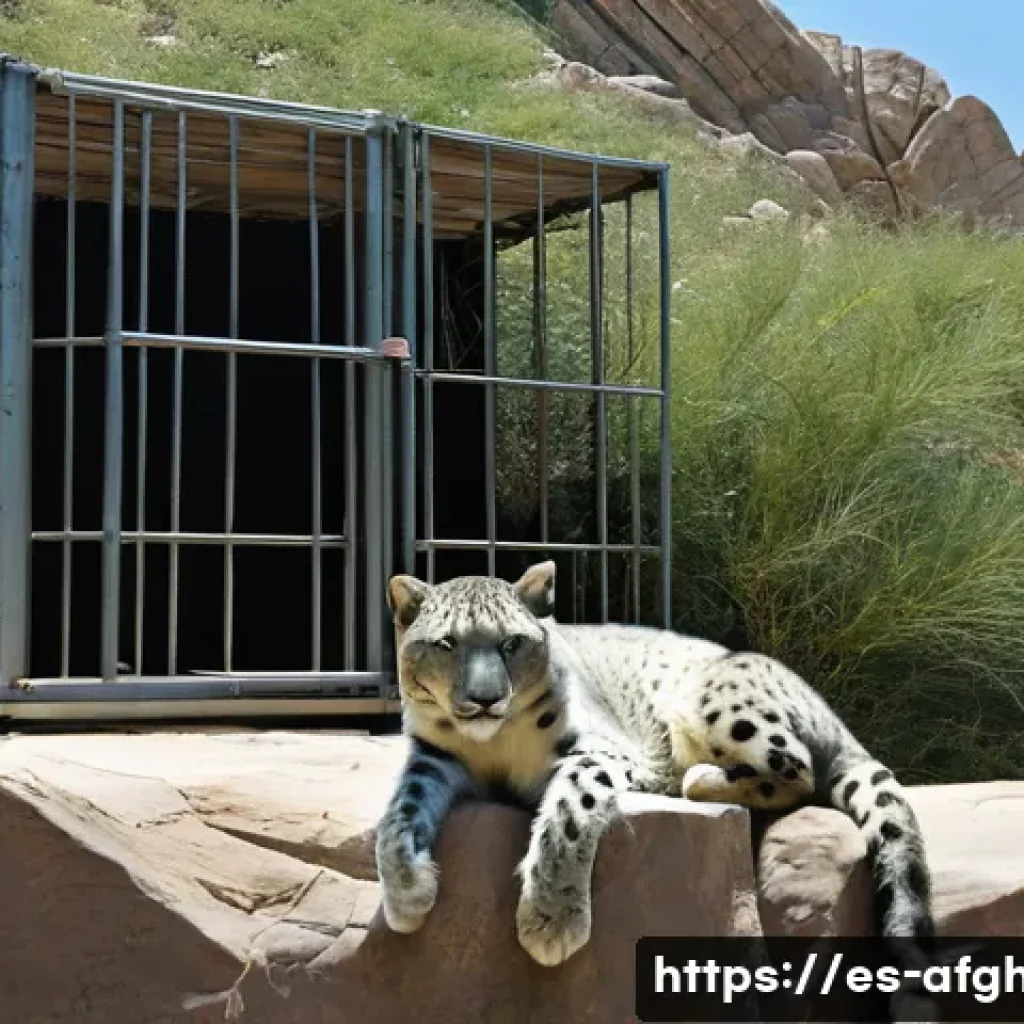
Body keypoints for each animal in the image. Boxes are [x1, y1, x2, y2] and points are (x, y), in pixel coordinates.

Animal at [375, 560, 934, 1015]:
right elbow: (399, 813)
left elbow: (567, 813)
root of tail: (830, 713)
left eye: (512, 643)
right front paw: (408, 896)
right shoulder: (434, 756)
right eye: (446, 644)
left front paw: (551, 922)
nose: (486, 699)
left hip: (722, 702)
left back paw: (695, 778)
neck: (495, 747)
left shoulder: (597, 751)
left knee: (797, 768)